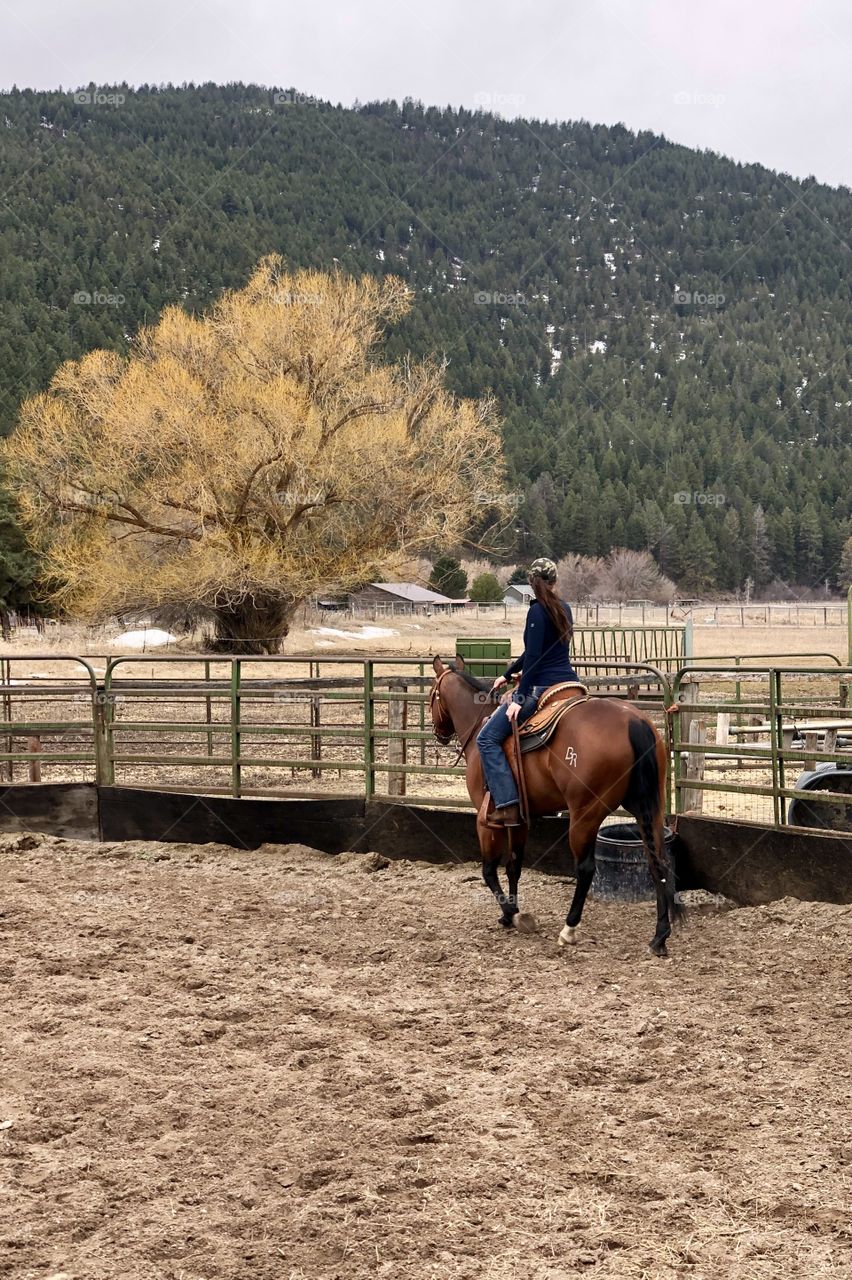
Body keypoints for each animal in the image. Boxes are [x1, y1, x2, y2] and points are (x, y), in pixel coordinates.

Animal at [427, 655, 680, 957]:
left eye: (431, 695)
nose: (438, 733)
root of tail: (634, 720)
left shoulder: (485, 820)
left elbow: (488, 870)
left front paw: (512, 914)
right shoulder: (518, 819)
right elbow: (514, 865)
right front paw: (510, 912)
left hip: (585, 815)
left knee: (585, 869)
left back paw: (569, 929)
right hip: (649, 808)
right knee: (659, 862)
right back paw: (659, 937)